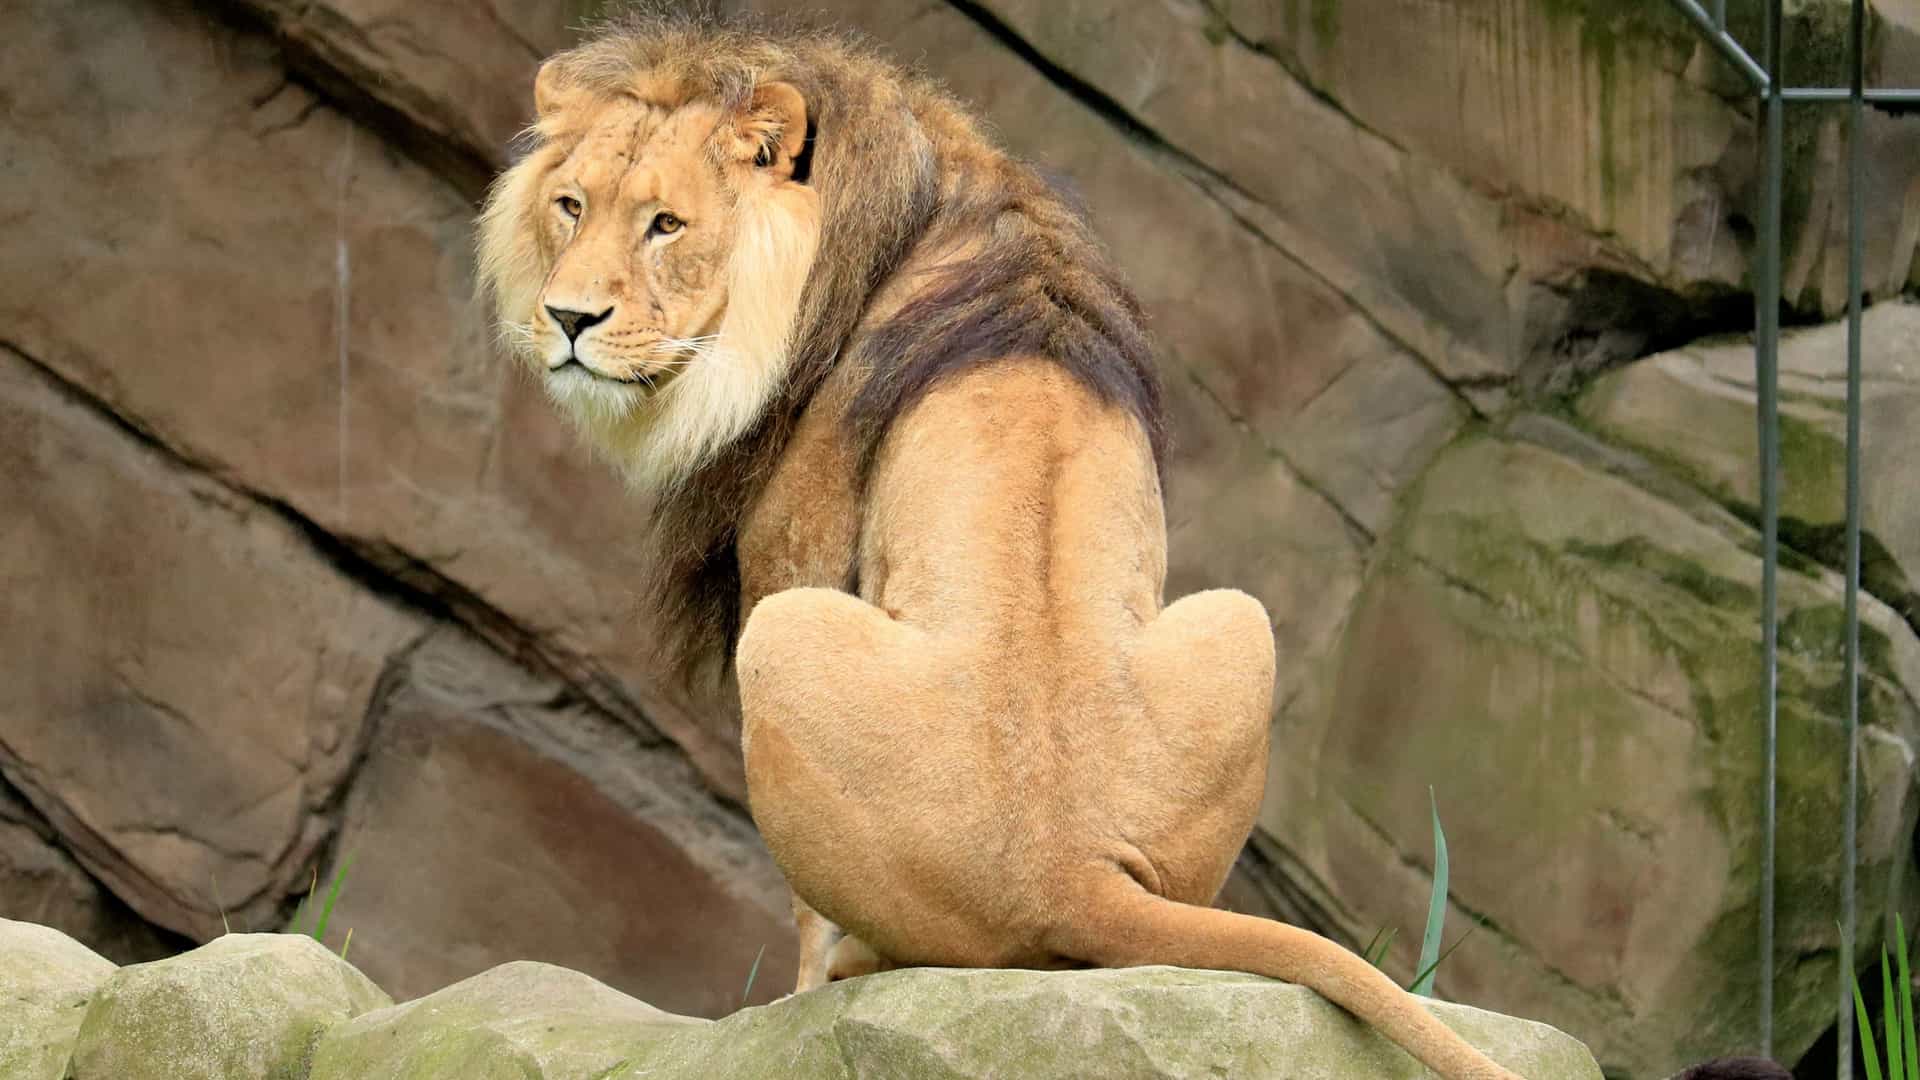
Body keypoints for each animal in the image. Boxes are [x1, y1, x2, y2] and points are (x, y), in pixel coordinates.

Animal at [477, 12, 1523, 1080]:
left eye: (666, 224)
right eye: (570, 206)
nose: (568, 319)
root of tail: (1073, 871)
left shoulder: (793, 548)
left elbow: (802, 920)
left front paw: (780, 1012)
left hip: (784, 634)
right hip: (1242, 624)